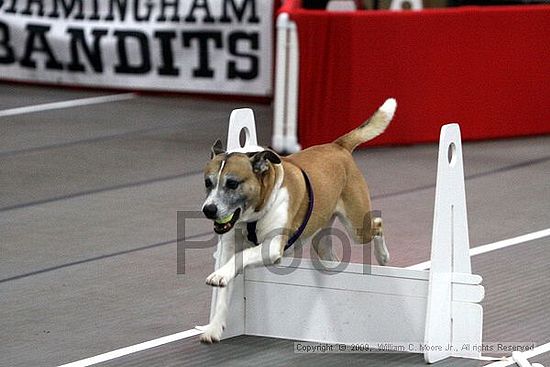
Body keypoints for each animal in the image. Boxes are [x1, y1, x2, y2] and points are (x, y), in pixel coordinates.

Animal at [201, 98, 398, 344]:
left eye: (232, 184)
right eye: (208, 183)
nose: (208, 210)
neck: (253, 215)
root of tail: (337, 146)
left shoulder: (272, 247)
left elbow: (242, 255)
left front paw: (221, 275)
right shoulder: (228, 247)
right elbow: (223, 290)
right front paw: (214, 327)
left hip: (357, 227)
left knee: (377, 224)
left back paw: (383, 256)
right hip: (321, 237)